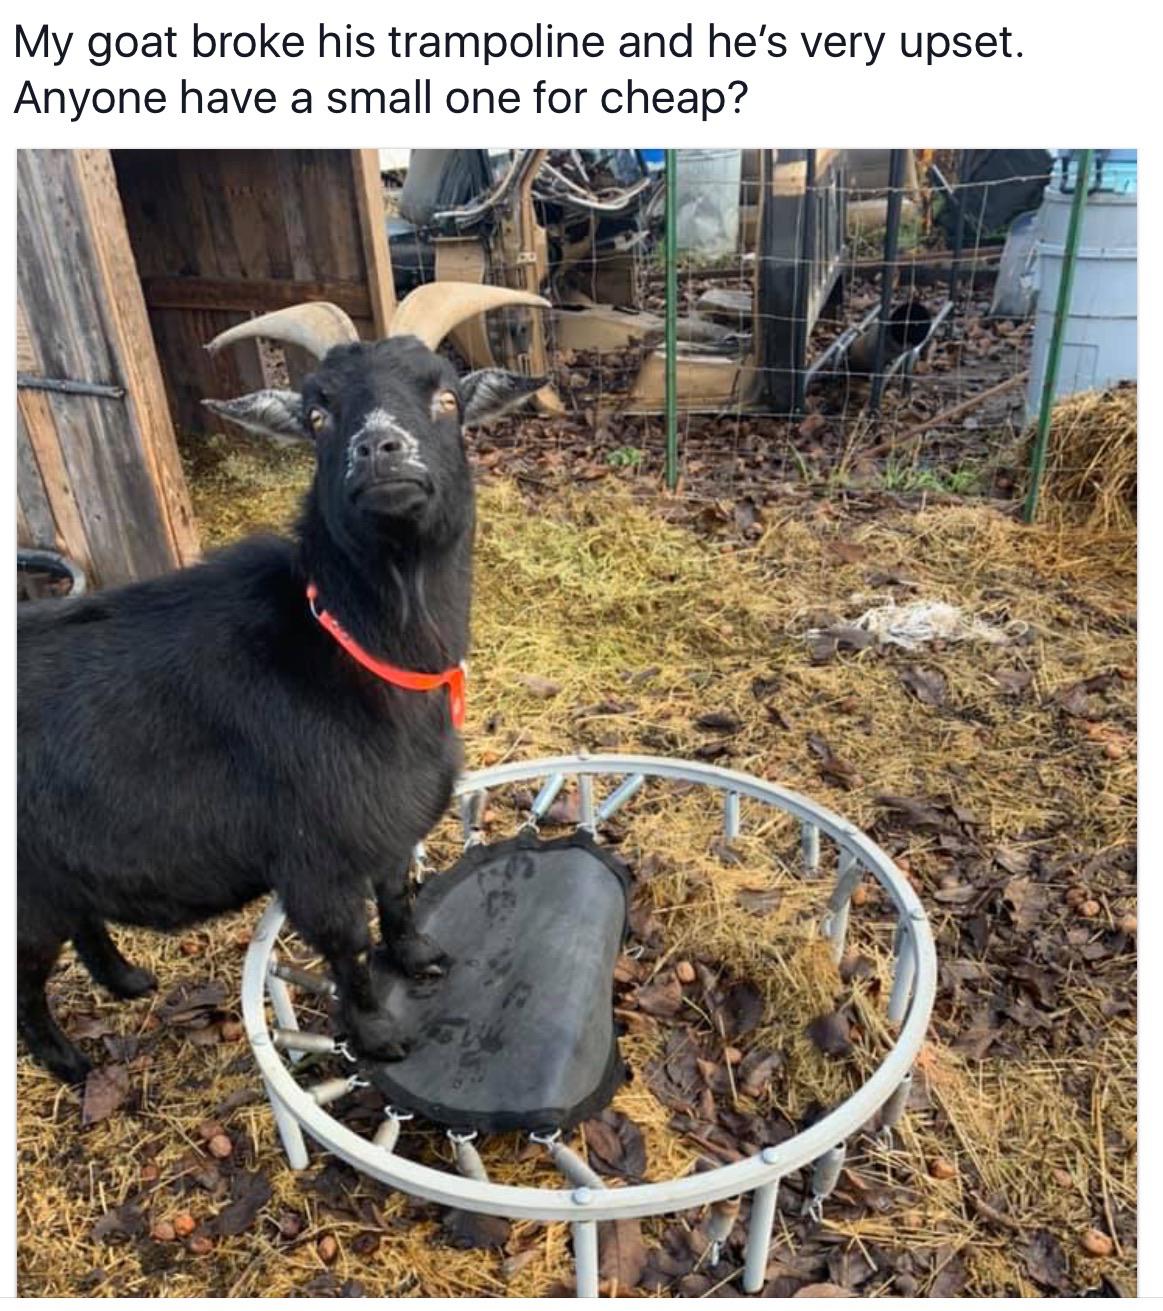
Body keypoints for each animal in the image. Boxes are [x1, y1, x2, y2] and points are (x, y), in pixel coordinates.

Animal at [17, 287, 545, 1085]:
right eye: (318, 414)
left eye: (446, 394)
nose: (380, 448)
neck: (352, 648)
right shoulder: (315, 855)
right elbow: (348, 943)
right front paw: (378, 1034)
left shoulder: (386, 824)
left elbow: (397, 896)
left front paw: (421, 957)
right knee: (25, 980)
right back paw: (70, 1062)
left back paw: (129, 980)